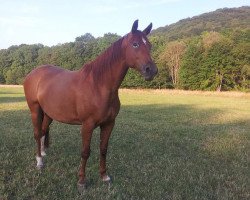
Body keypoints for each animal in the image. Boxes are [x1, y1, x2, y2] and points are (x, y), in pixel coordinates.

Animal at [23, 19, 156, 190]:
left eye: (150, 45)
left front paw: (104, 176)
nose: (151, 70)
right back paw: (39, 161)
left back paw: (43, 153)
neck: (99, 85)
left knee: (44, 131)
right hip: (35, 110)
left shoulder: (109, 124)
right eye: (135, 44)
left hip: (49, 113)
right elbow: (85, 152)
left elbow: (103, 149)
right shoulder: (87, 125)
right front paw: (81, 181)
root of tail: (33, 74)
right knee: (37, 133)